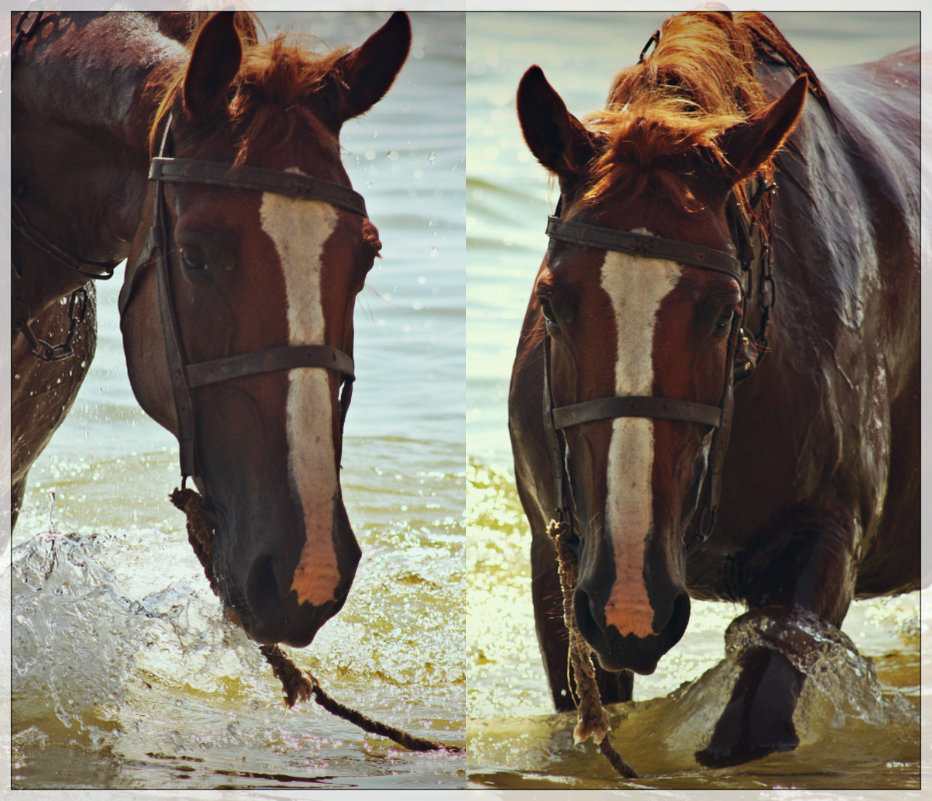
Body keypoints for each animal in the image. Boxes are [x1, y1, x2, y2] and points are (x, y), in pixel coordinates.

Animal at [506, 9, 920, 764]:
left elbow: (752, 728)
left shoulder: (822, 552)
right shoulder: (557, 566)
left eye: (724, 310)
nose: (631, 604)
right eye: (551, 301)